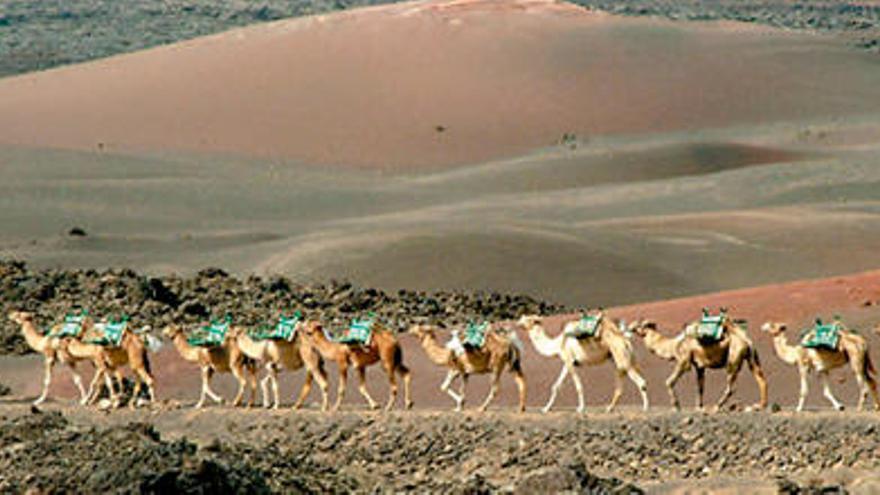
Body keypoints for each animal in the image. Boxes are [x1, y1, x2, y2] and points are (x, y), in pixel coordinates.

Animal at [516, 314, 648, 414]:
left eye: (528, 319)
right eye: (523, 317)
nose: (518, 322)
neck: (558, 344)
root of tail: (626, 340)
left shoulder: (570, 361)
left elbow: (578, 386)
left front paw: (580, 408)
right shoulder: (567, 362)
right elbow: (556, 386)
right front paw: (545, 409)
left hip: (623, 360)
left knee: (641, 382)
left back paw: (645, 408)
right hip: (619, 361)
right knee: (620, 387)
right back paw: (609, 408)